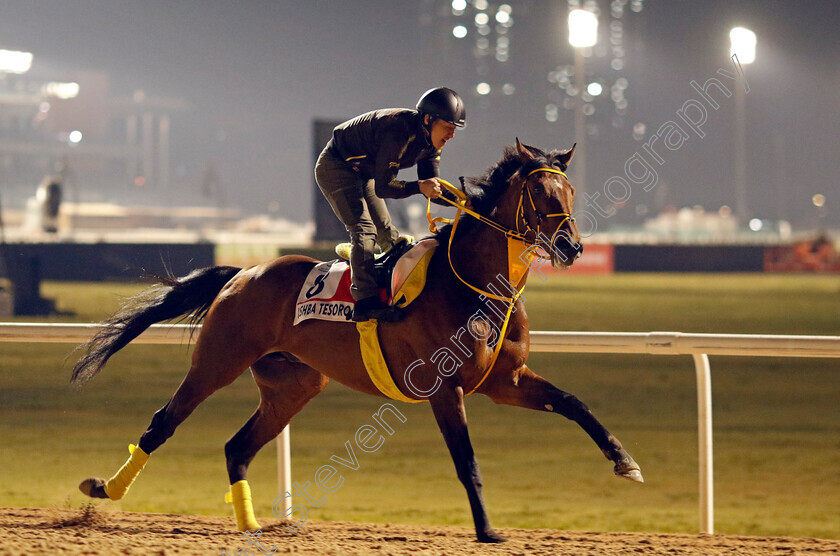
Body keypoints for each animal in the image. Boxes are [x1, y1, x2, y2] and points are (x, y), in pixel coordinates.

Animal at [72, 138, 644, 544]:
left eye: (570, 193)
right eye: (541, 194)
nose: (573, 246)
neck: (475, 283)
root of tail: (244, 271)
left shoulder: (506, 380)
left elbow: (573, 402)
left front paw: (625, 461)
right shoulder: (446, 390)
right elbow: (467, 460)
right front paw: (486, 530)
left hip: (293, 386)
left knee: (238, 445)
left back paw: (251, 524)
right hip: (217, 361)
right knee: (163, 422)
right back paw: (105, 488)